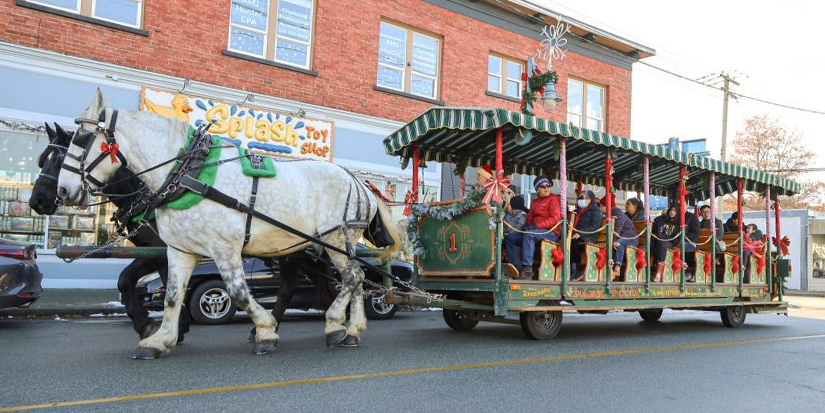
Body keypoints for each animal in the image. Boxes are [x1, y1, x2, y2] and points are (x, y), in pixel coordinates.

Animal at [56, 90, 401, 359]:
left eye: (82, 138)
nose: (62, 191)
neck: (187, 174)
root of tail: (358, 181)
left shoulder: (224, 248)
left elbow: (237, 292)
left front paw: (265, 331)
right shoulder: (179, 250)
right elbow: (172, 296)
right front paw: (159, 340)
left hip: (336, 238)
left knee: (352, 277)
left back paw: (335, 324)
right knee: (356, 279)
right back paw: (351, 329)